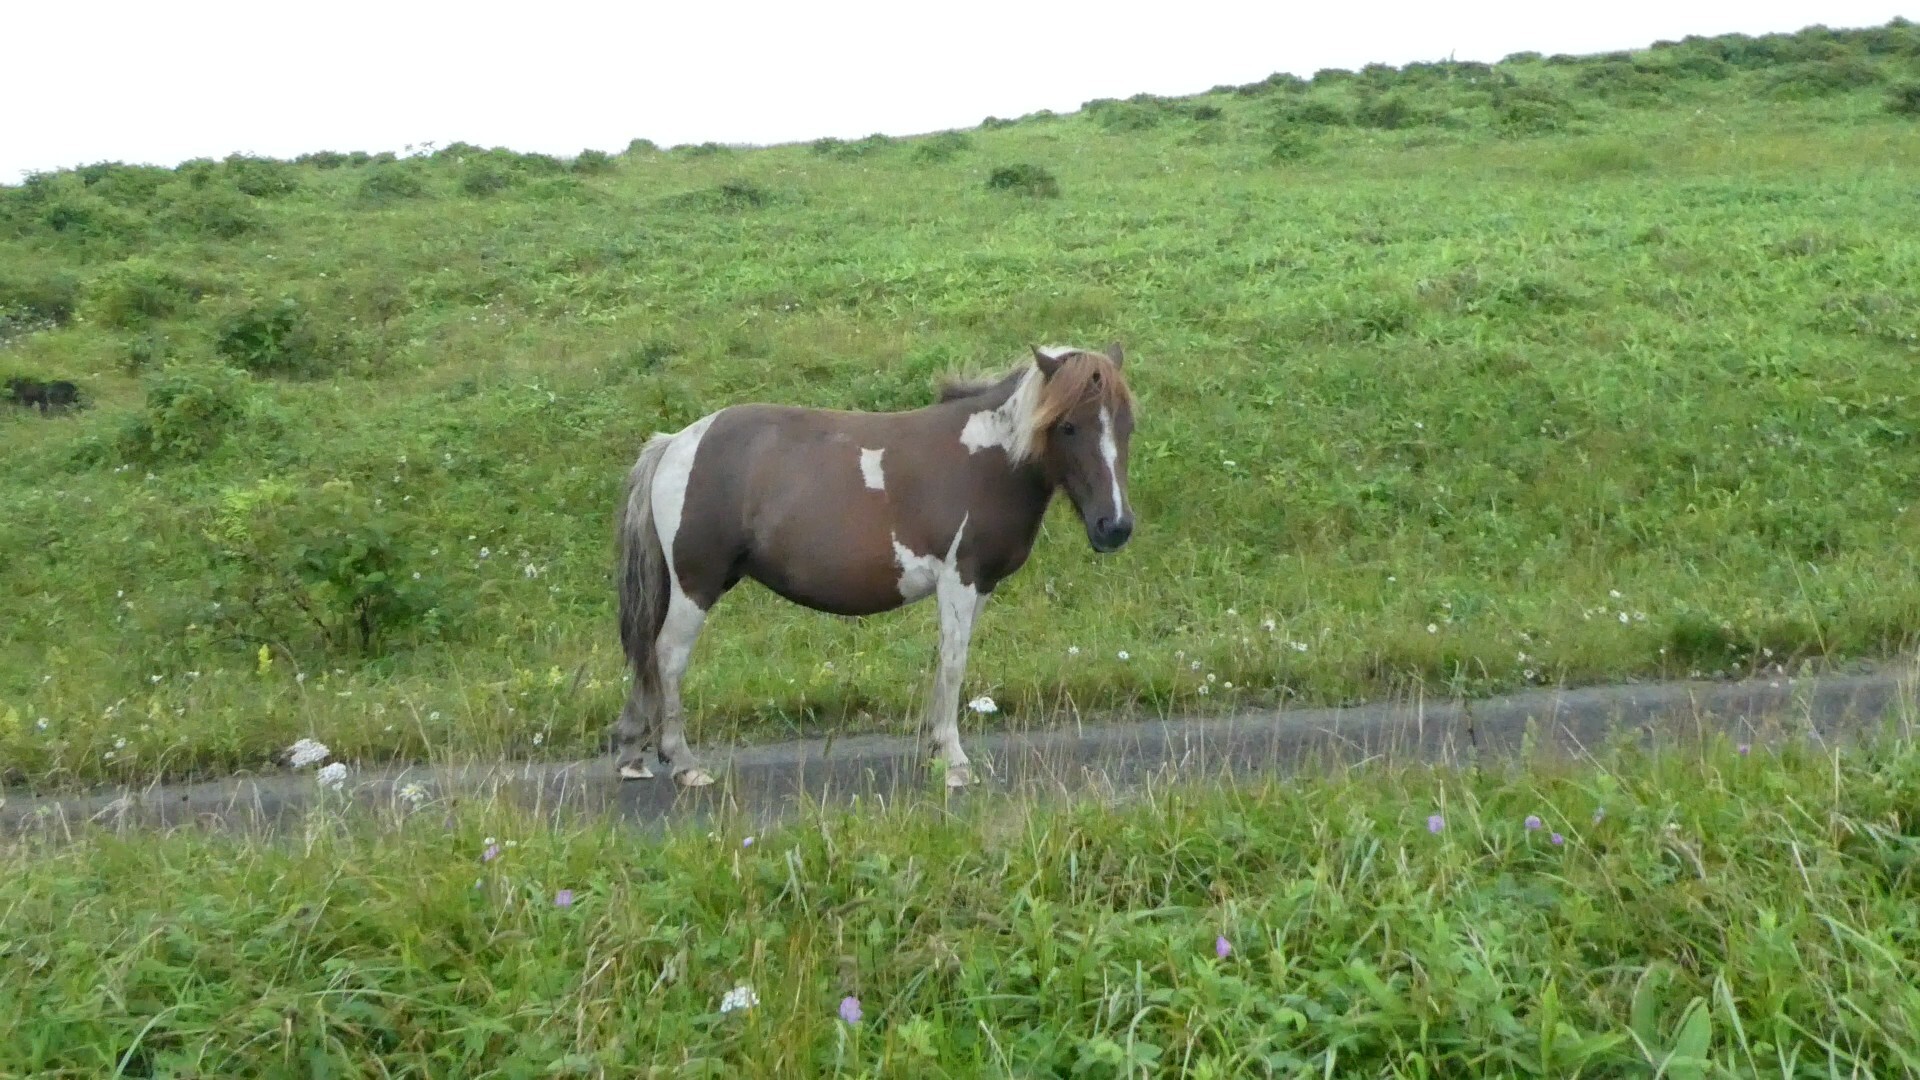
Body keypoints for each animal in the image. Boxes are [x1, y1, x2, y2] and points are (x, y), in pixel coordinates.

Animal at [612, 343, 1137, 788]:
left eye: (1126, 424)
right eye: (1067, 425)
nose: (1114, 526)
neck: (987, 458)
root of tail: (676, 443)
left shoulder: (979, 586)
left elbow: (948, 659)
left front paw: (937, 751)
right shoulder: (960, 579)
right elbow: (953, 661)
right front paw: (953, 761)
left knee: (646, 654)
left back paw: (633, 755)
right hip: (696, 585)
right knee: (668, 657)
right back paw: (684, 764)